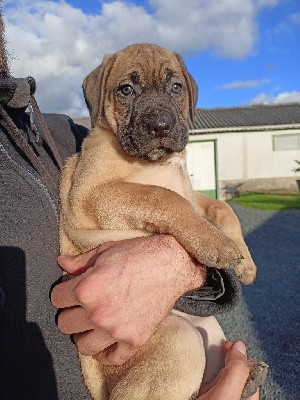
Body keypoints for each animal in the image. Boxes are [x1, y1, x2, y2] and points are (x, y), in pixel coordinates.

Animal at [59, 43, 258, 400]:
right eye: (126, 89)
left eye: (176, 87)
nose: (161, 126)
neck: (157, 163)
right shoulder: (93, 194)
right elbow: (162, 197)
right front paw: (217, 245)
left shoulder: (194, 197)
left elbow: (223, 208)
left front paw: (245, 262)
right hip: (180, 342)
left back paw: (249, 375)